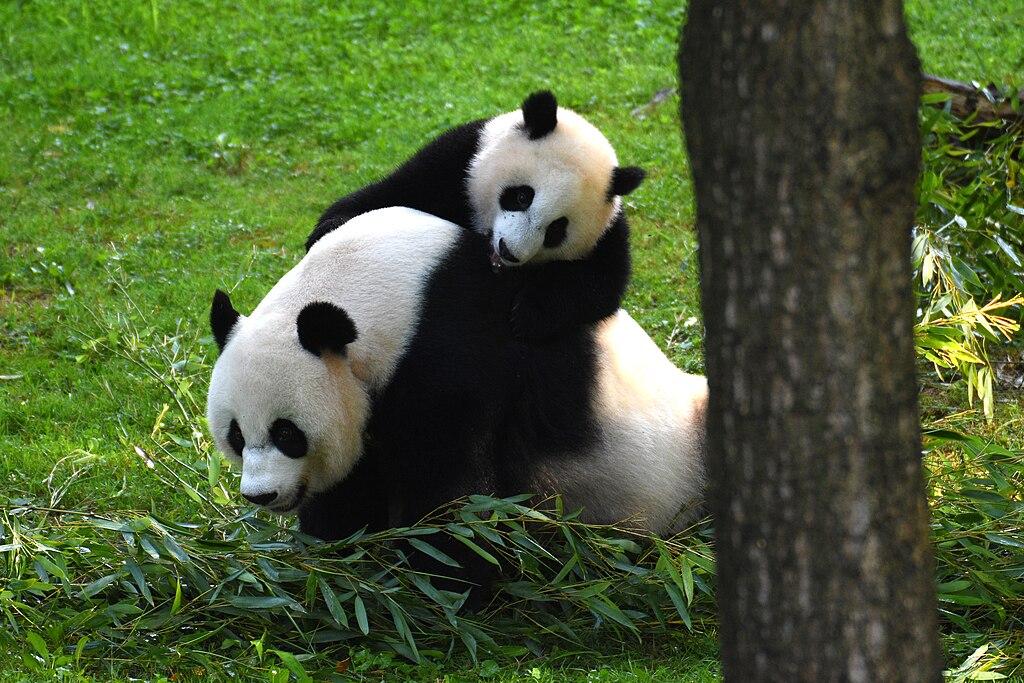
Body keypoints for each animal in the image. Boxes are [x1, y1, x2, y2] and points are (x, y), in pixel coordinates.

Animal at [206, 207, 706, 541]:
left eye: (287, 433)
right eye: (236, 435)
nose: (261, 495)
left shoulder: (451, 361)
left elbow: (450, 494)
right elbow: (355, 481)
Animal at [306, 91, 645, 341]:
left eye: (556, 231)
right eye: (522, 196)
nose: (509, 251)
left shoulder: (608, 232)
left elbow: (601, 283)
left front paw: (531, 312)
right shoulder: (456, 162)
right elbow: (392, 192)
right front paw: (331, 227)